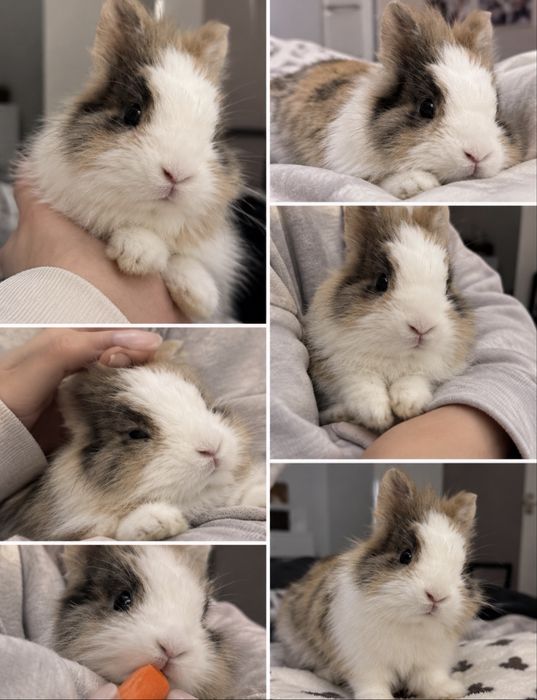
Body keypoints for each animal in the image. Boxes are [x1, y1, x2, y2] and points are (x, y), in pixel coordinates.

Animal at [18, 0, 244, 321]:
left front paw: (200, 296)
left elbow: (186, 263)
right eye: (132, 112)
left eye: (215, 135)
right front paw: (139, 254)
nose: (178, 174)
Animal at [276, 468, 482, 700]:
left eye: (464, 568)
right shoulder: (364, 662)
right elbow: (372, 682)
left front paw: (449, 691)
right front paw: (377, 697)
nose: (437, 596)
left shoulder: (430, 662)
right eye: (405, 556)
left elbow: (430, 678)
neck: (411, 623)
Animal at [305, 206, 474, 433]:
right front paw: (377, 415)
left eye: (447, 287)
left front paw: (406, 405)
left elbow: (415, 378)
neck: (396, 356)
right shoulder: (341, 365)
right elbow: (362, 383)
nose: (422, 327)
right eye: (381, 281)